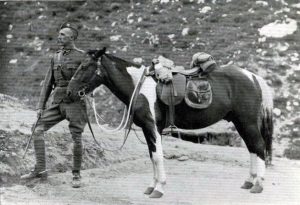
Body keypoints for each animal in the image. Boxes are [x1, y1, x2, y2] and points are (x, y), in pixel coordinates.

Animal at [67, 48, 274, 198]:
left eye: (84, 66)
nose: (69, 92)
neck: (139, 86)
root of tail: (253, 77)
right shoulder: (147, 129)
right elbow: (152, 156)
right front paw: (151, 187)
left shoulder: (152, 127)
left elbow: (158, 157)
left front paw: (159, 189)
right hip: (240, 122)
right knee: (252, 148)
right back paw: (249, 181)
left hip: (247, 122)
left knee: (258, 146)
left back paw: (258, 185)